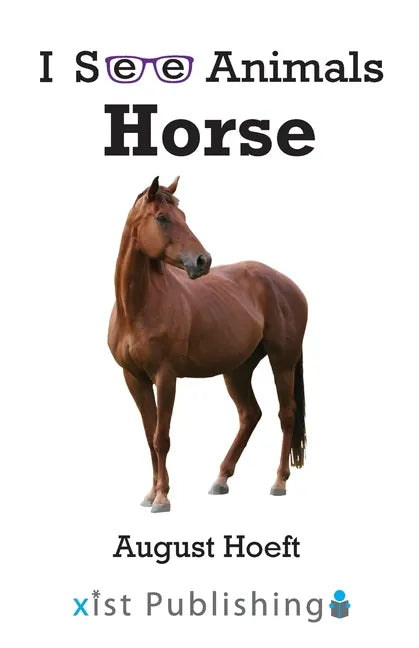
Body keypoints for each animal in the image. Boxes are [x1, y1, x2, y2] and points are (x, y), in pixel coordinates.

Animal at [108, 176, 308, 513]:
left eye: (184, 216)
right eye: (162, 218)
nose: (203, 261)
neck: (139, 306)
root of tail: (289, 285)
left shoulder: (166, 377)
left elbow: (162, 437)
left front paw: (162, 497)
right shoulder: (134, 378)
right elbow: (150, 436)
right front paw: (150, 493)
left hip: (283, 363)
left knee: (287, 415)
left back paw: (279, 482)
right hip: (237, 370)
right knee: (250, 414)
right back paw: (221, 479)